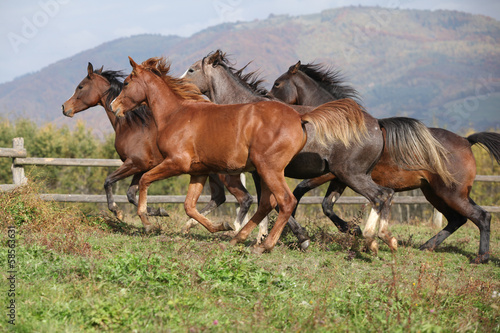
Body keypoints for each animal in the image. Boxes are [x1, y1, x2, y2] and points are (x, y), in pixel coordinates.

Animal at [60, 63, 252, 233]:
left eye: (80, 86)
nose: (64, 107)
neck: (132, 125)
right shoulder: (141, 167)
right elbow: (131, 194)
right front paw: (157, 212)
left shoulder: (134, 164)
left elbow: (109, 182)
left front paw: (119, 212)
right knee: (219, 197)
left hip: (225, 174)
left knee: (244, 198)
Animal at [108, 57, 390, 253]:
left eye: (127, 83)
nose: (113, 106)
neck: (176, 114)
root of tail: (300, 117)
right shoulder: (198, 171)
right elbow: (189, 206)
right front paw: (219, 227)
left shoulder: (176, 163)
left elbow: (145, 181)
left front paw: (147, 220)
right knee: (271, 203)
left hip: (288, 170)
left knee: (286, 201)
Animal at [182, 50, 456, 255]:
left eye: (192, 70)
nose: (179, 82)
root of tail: (377, 124)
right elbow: (276, 203)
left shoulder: (265, 172)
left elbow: (275, 202)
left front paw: (290, 238)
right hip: (351, 176)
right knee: (384, 197)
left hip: (351, 175)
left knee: (382, 196)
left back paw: (375, 238)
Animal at [272, 60, 500, 262]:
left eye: (277, 84)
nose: (270, 105)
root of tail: (466, 141)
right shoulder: (341, 177)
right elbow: (326, 204)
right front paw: (352, 230)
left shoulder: (329, 174)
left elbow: (301, 192)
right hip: (437, 193)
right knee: (459, 219)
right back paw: (426, 246)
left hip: (451, 193)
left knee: (480, 216)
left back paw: (481, 257)